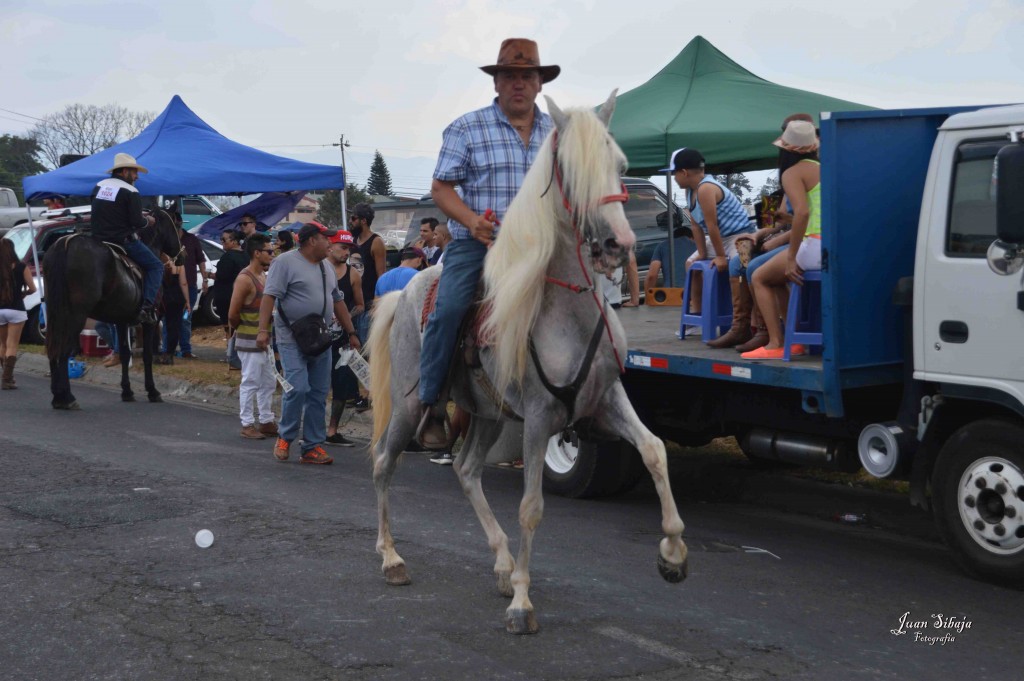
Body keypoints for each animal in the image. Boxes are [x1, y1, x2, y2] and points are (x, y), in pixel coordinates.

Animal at [44, 209, 181, 405]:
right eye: (177, 225)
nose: (182, 256)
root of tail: (65, 244)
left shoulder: (122, 320)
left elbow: (124, 354)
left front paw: (127, 391)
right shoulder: (151, 321)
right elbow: (147, 356)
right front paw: (152, 391)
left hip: (56, 313)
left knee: (53, 348)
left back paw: (58, 396)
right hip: (75, 316)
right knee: (63, 350)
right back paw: (67, 398)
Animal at [368, 93, 688, 634]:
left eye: (621, 165)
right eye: (571, 173)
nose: (619, 245)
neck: (568, 310)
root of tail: (406, 286)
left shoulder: (607, 397)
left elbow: (654, 451)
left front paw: (673, 554)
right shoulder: (540, 417)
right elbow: (531, 507)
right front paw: (522, 601)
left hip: (487, 414)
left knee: (466, 469)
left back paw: (500, 562)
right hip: (412, 408)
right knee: (384, 464)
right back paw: (392, 559)